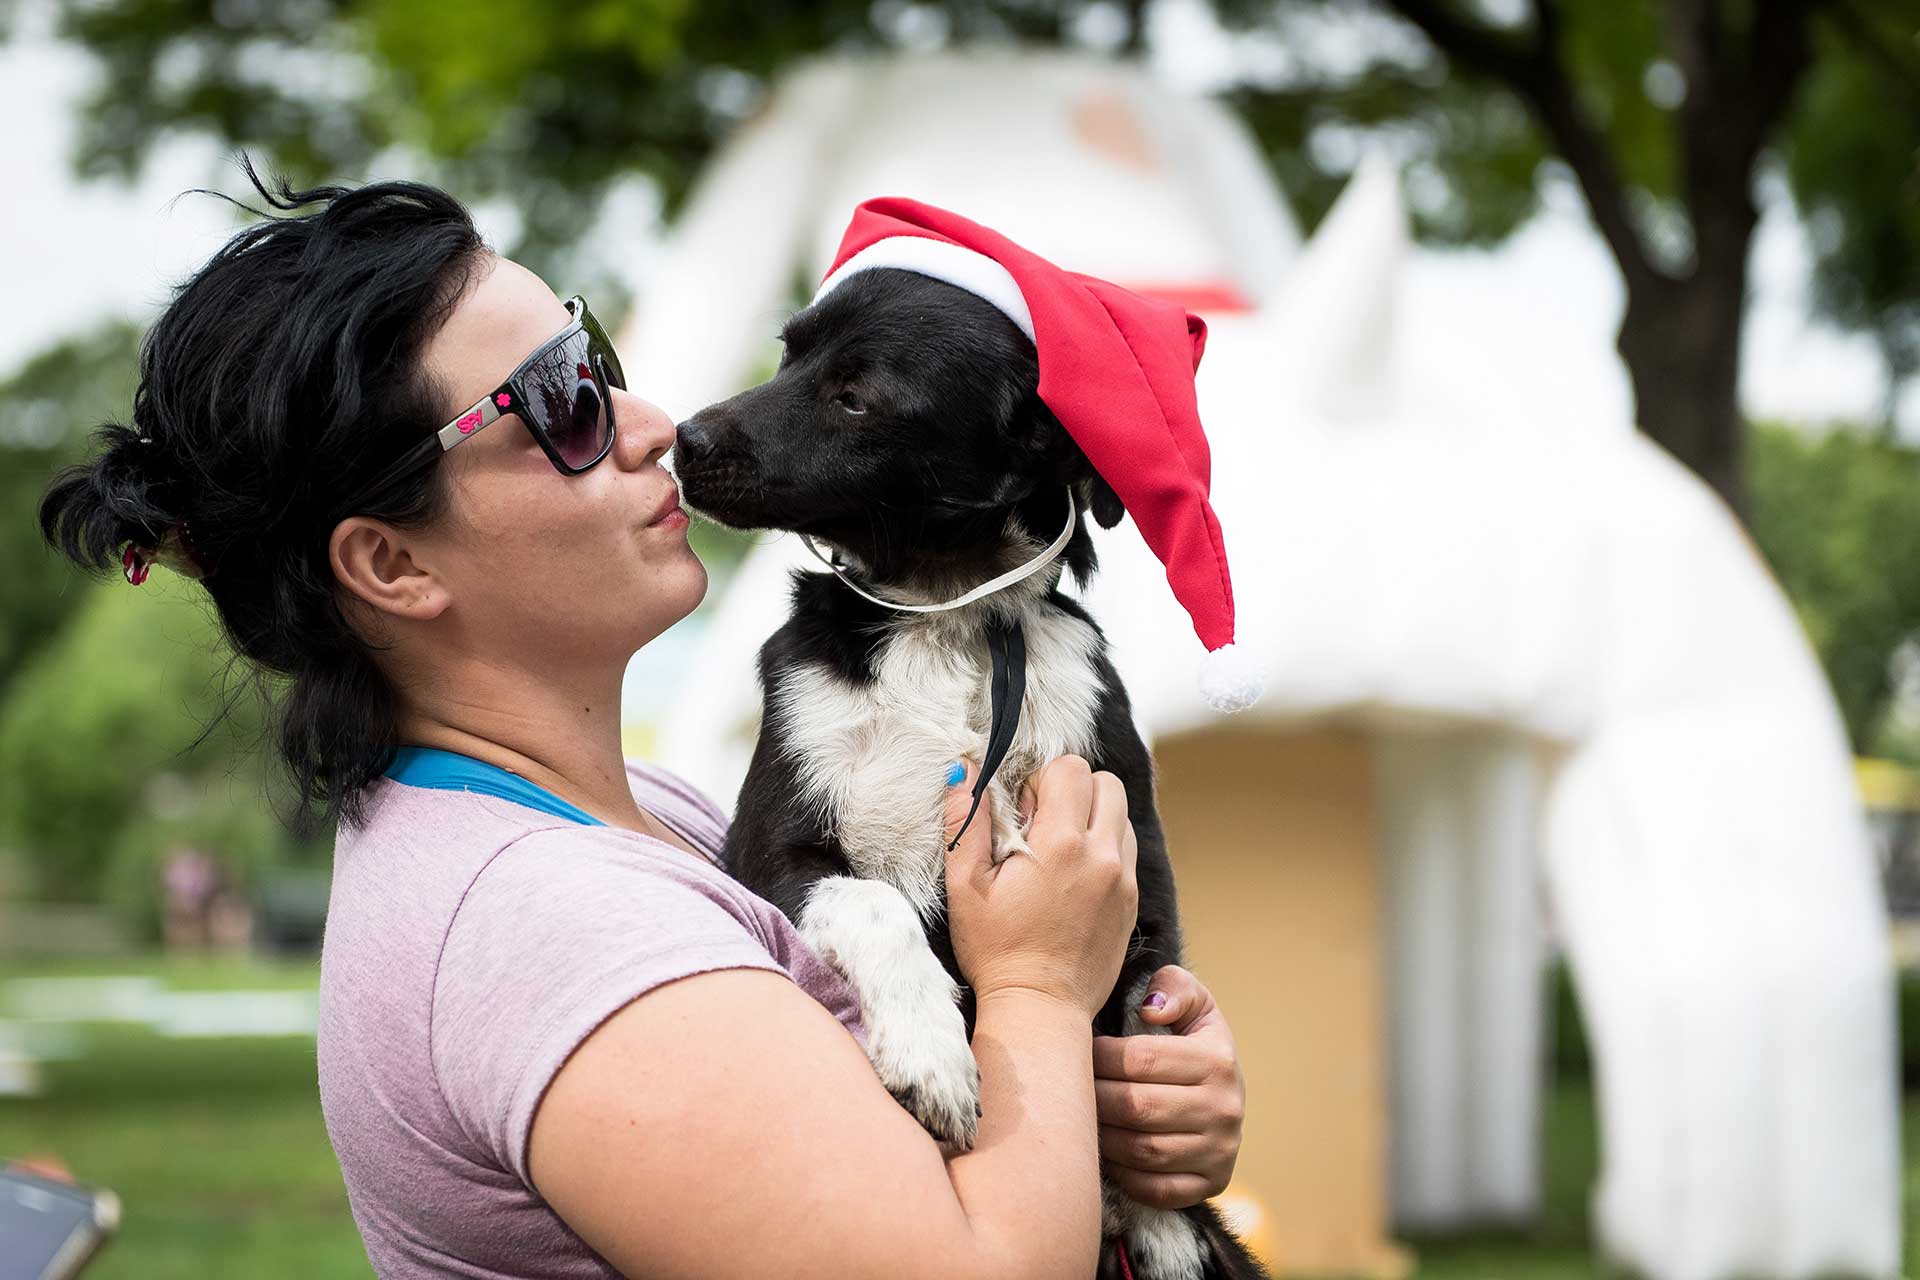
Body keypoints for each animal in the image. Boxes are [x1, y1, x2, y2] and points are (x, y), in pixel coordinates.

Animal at [675, 264, 1274, 1274]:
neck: (950, 612)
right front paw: (932, 1055)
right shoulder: (768, 852)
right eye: (789, 352)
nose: (682, 441)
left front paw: (1161, 1224)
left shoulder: (1142, 882)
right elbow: (874, 902)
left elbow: (1136, 1007)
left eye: (856, 395)